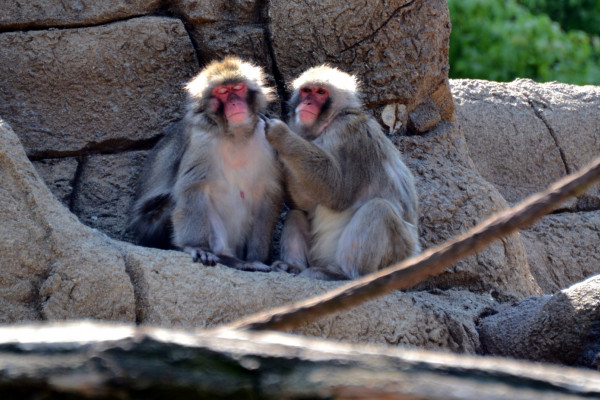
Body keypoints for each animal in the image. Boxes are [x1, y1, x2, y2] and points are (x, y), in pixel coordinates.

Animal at [128, 57, 282, 272]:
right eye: (222, 92)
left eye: (238, 87)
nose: (234, 102)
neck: (235, 134)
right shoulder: (202, 140)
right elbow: (193, 187)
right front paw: (197, 247)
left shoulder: (266, 138)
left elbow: (267, 194)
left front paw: (258, 259)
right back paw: (226, 258)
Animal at [264, 65, 420, 278]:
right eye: (306, 90)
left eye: (320, 92)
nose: (307, 102)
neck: (329, 123)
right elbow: (306, 203)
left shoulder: (353, 135)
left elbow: (337, 192)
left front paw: (281, 134)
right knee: (296, 213)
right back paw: (292, 266)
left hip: (398, 256)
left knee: (379, 209)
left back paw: (345, 274)